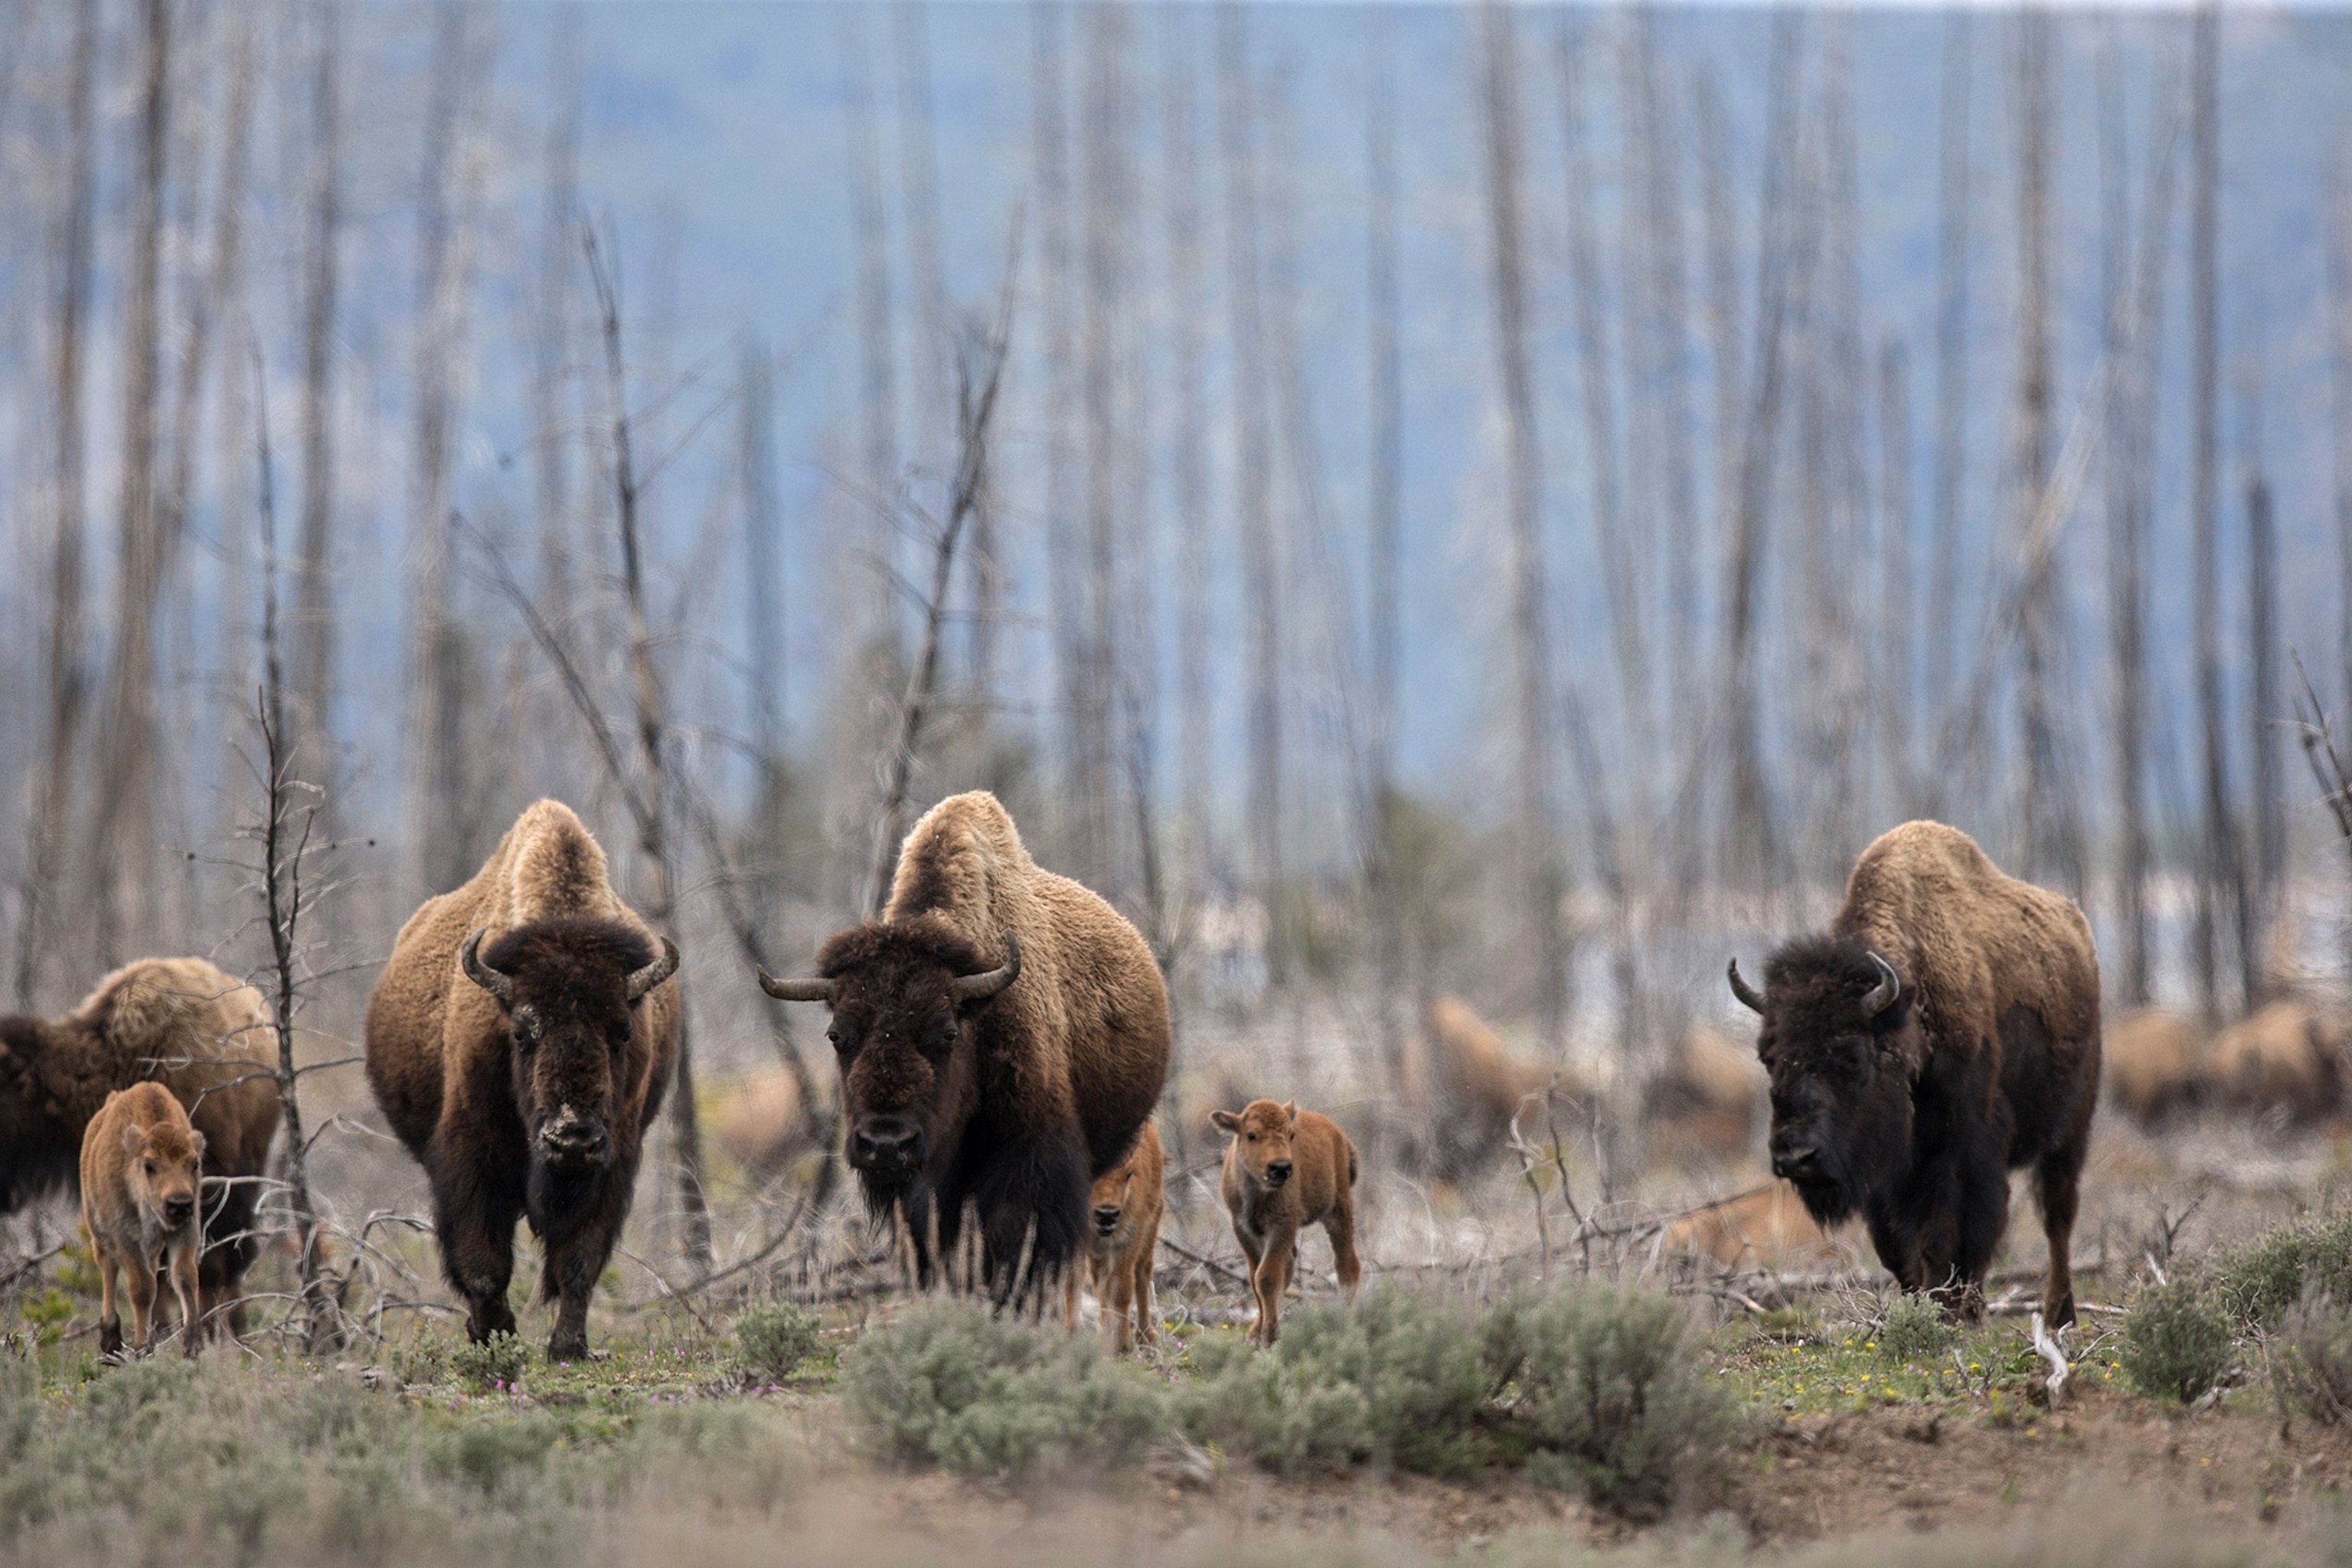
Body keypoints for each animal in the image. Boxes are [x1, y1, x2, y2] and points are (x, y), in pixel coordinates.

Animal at [365, 800, 679, 1358]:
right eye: (522, 1030)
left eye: (622, 1031)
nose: (572, 1138)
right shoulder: (468, 1158)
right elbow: (482, 1265)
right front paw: (495, 1338)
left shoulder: (613, 1161)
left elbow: (577, 1264)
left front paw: (568, 1348)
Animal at [759, 790, 1170, 1299]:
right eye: (837, 1035)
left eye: (948, 1032)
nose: (887, 1144)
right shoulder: (930, 1191)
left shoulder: (1031, 1161)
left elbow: (1016, 1239)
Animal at [1729, 820, 2100, 1325]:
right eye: (1768, 1057)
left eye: (1851, 1055)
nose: (1794, 1156)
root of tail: (2079, 928)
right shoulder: (1884, 1175)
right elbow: (1896, 1249)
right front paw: (1919, 1308)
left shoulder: (1961, 1154)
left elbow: (1948, 1237)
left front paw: (1950, 1313)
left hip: (2071, 1127)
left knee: (2057, 1217)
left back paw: (2060, 1314)